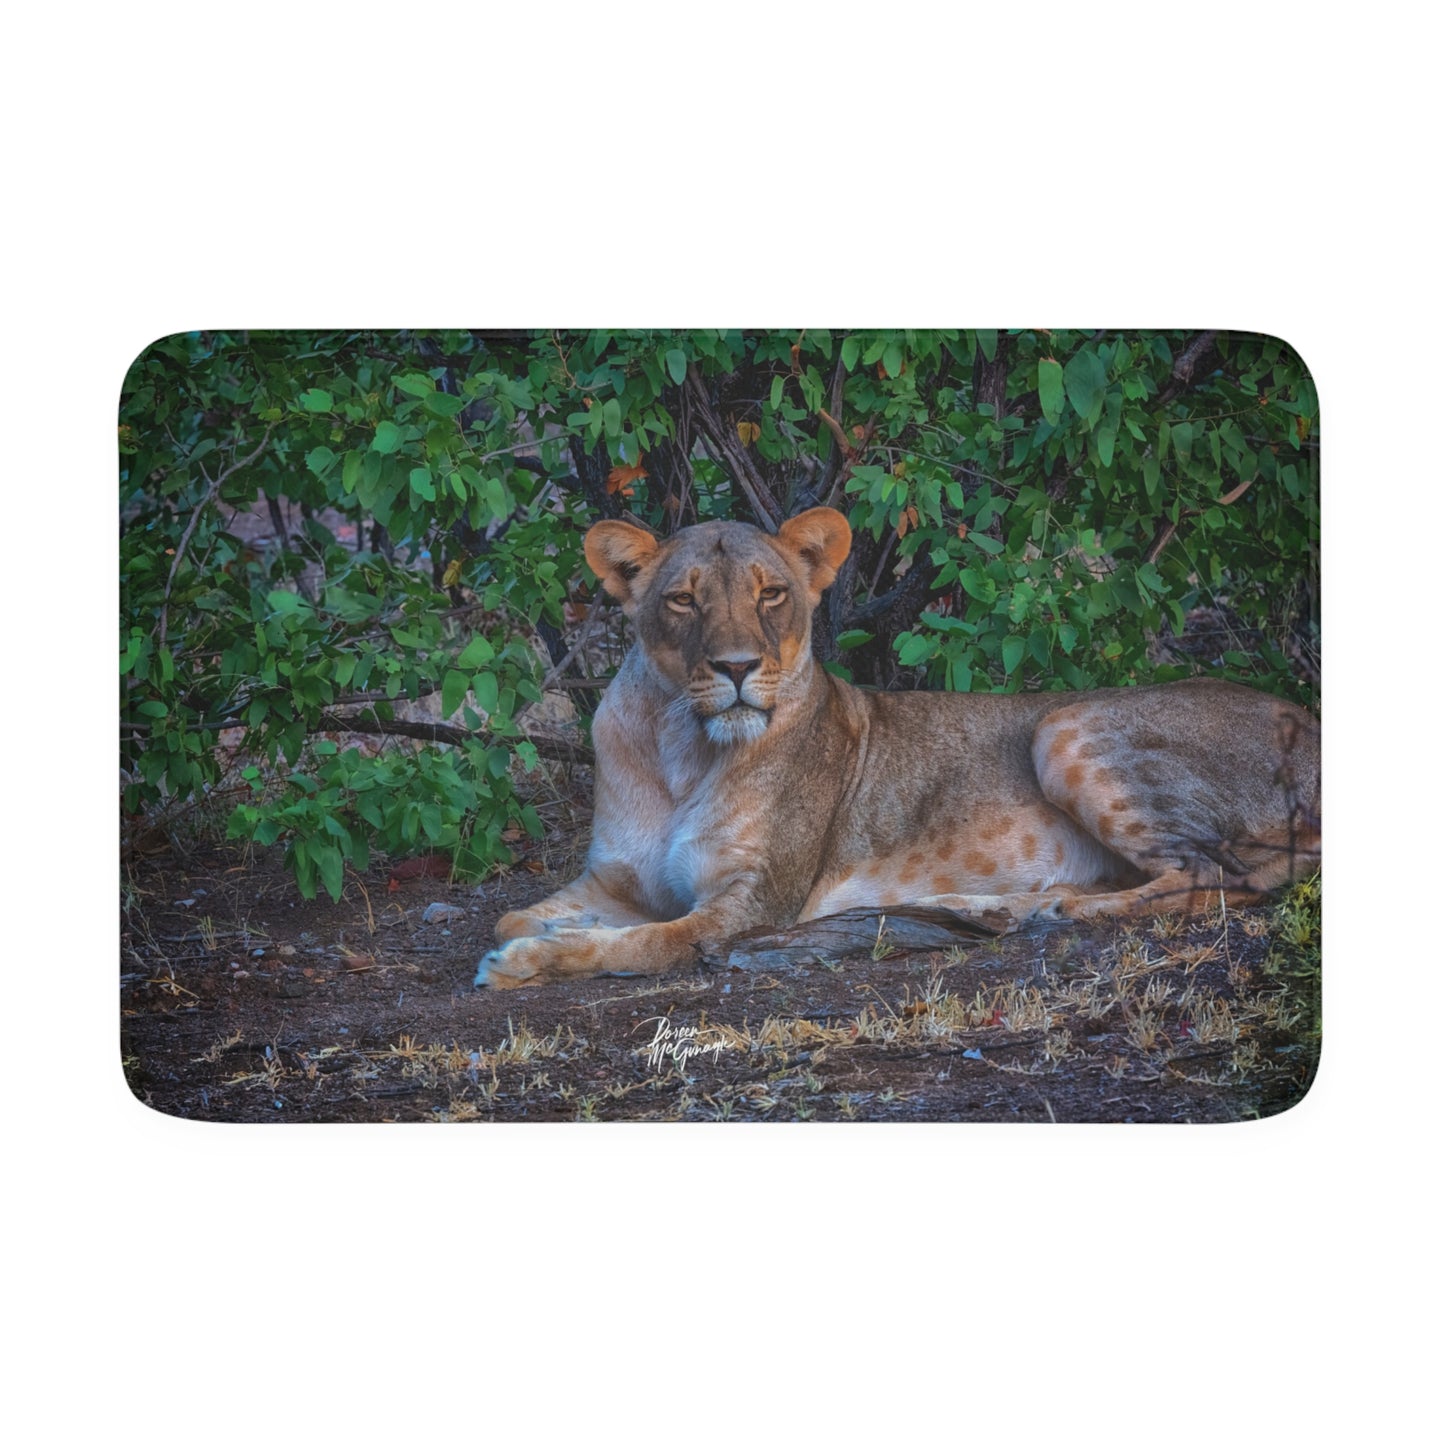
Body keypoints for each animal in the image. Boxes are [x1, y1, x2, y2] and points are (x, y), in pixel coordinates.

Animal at [474, 507, 1320, 988]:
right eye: (682, 599)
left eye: (770, 594)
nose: (737, 667)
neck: (680, 743)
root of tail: (1306, 719)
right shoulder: (613, 879)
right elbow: (514, 916)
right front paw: (541, 934)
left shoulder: (752, 903)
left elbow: (643, 942)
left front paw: (529, 963)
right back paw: (990, 906)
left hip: (1063, 723)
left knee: (1215, 877)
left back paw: (1050, 909)